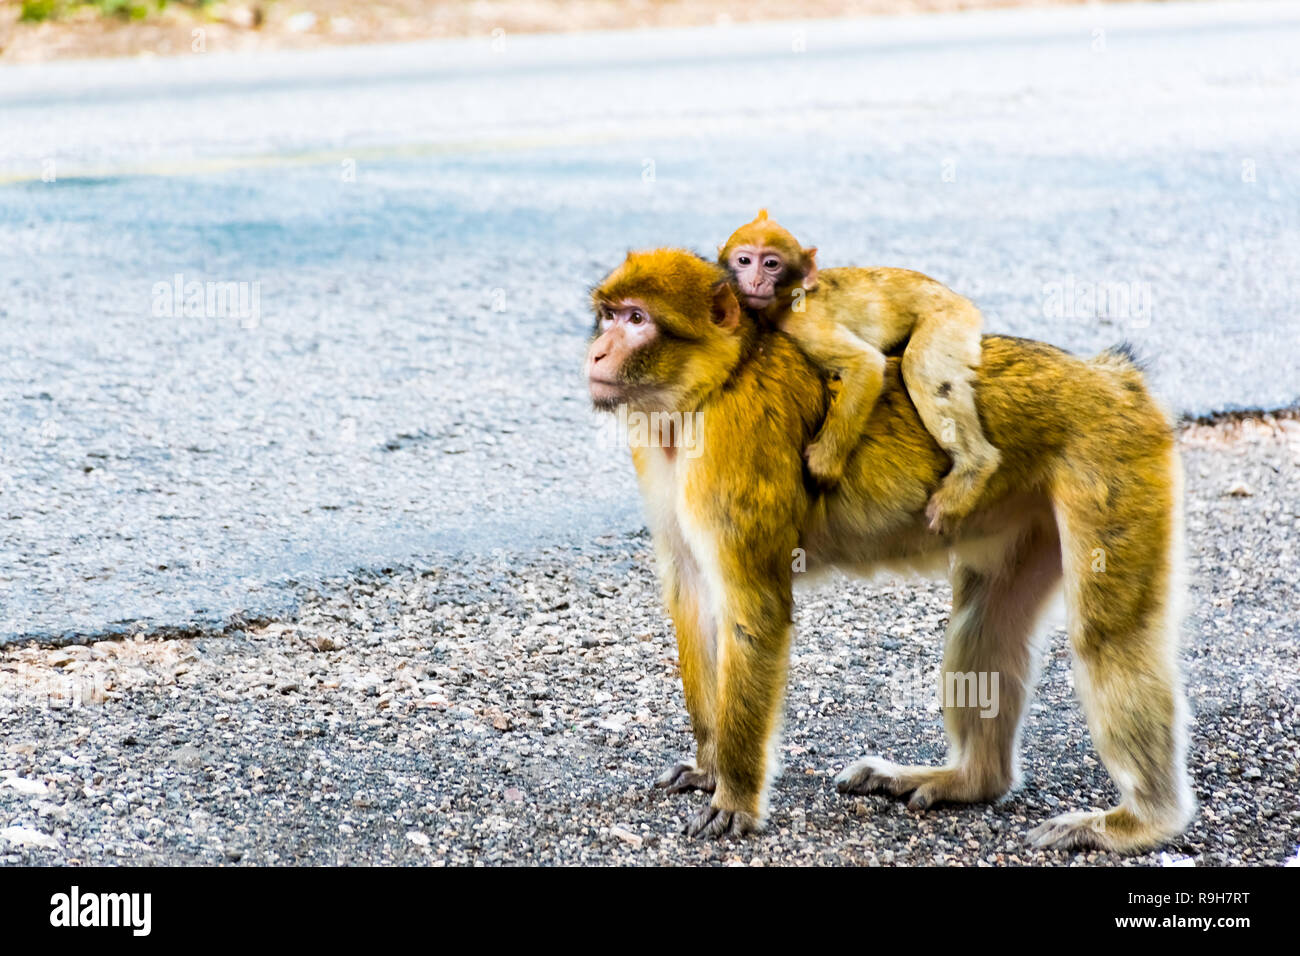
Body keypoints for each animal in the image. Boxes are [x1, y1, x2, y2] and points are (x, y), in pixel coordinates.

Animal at [586, 248, 1193, 853]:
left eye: (637, 319)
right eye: (609, 315)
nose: (595, 351)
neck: (710, 389)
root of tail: (1109, 376)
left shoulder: (731, 447)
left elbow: (751, 611)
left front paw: (734, 795)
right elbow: (694, 600)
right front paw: (708, 768)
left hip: (1110, 461)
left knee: (1107, 634)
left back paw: (1143, 820)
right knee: (987, 622)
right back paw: (969, 780)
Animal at [719, 210, 1001, 534]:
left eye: (771, 264)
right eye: (744, 260)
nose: (754, 281)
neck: (785, 300)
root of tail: (957, 298)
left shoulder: (802, 321)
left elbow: (865, 363)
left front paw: (824, 463)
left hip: (949, 318)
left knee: (920, 367)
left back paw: (974, 467)